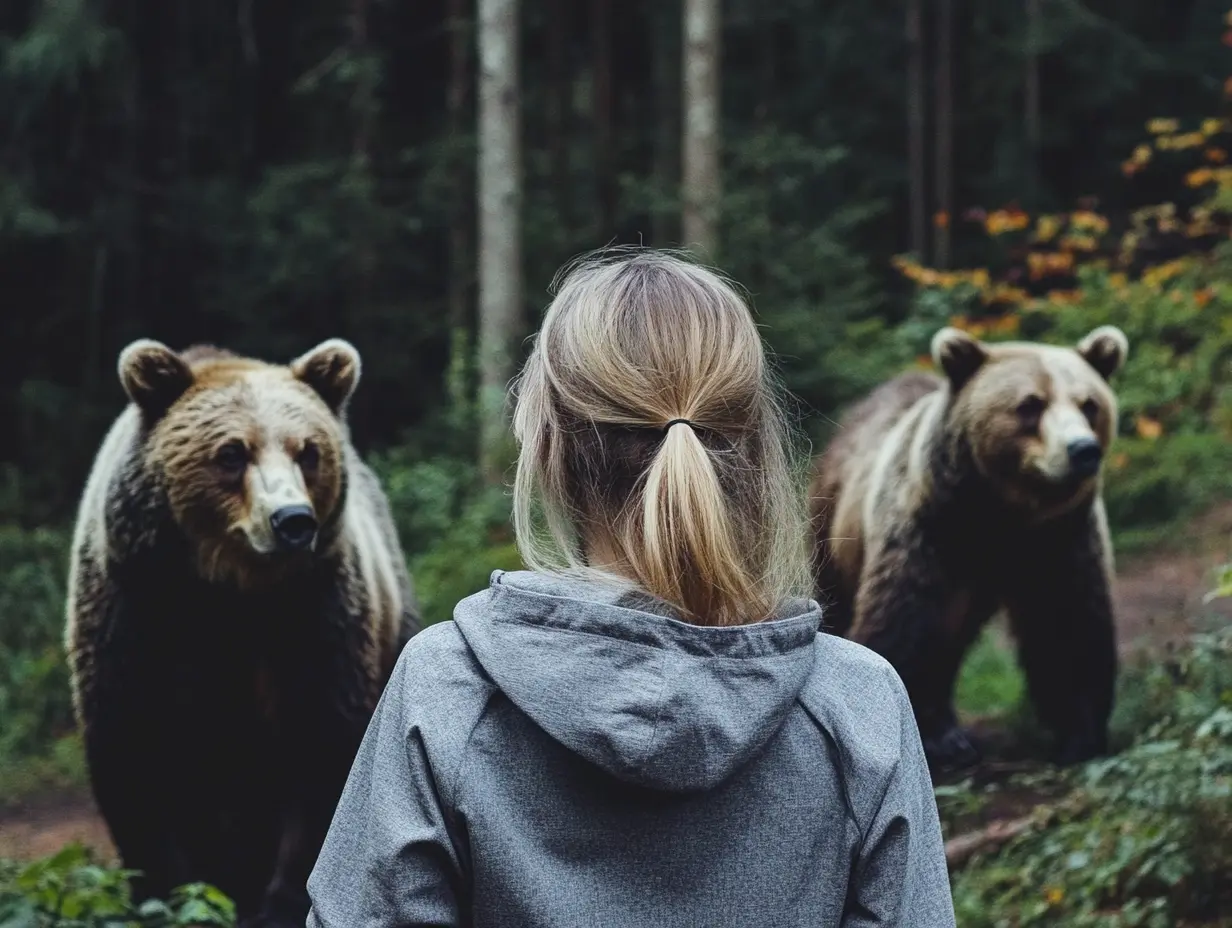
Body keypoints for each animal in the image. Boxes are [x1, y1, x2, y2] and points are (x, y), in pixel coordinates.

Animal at [63, 338, 421, 928]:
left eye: (307, 452)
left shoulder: (312, 614)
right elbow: (132, 751)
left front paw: (284, 900)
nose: (292, 520)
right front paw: (169, 894)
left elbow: (322, 744)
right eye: (232, 452)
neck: (229, 591)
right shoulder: (135, 609)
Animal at [808, 324, 1128, 772]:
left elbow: (1067, 621)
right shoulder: (929, 530)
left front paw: (1081, 737)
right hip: (834, 523)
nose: (1083, 449)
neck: (1000, 515)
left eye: (1090, 404)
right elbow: (903, 622)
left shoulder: (1059, 539)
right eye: (1030, 404)